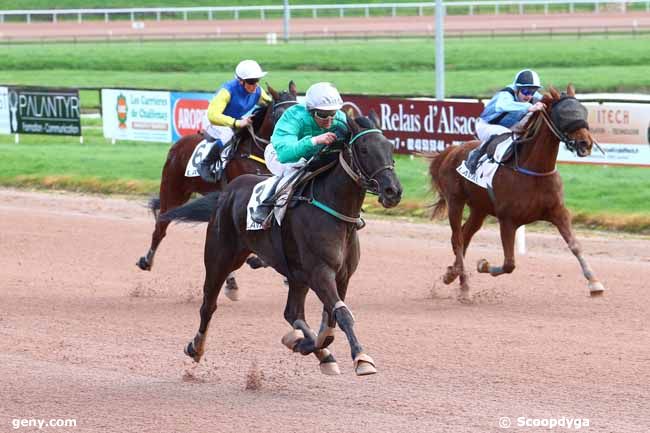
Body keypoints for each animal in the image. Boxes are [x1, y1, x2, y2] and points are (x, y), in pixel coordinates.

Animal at [137, 81, 298, 296]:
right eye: (280, 114)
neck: (257, 154)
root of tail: (177, 146)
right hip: (173, 191)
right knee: (161, 226)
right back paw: (147, 260)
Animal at [161, 112, 400, 374]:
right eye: (364, 149)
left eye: (390, 148)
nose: (393, 191)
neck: (335, 210)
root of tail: (226, 192)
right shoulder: (320, 272)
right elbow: (343, 316)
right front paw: (361, 358)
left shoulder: (341, 275)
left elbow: (329, 325)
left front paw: (303, 343)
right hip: (219, 257)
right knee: (208, 305)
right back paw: (196, 346)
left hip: (296, 275)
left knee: (292, 312)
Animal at [428, 84, 604, 300]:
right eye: (564, 114)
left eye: (583, 111)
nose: (585, 143)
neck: (535, 171)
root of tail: (450, 151)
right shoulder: (508, 220)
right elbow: (509, 264)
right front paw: (482, 264)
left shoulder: (558, 212)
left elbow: (575, 245)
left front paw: (594, 283)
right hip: (455, 201)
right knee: (458, 239)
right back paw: (465, 287)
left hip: (479, 209)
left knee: (464, 236)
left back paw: (452, 276)